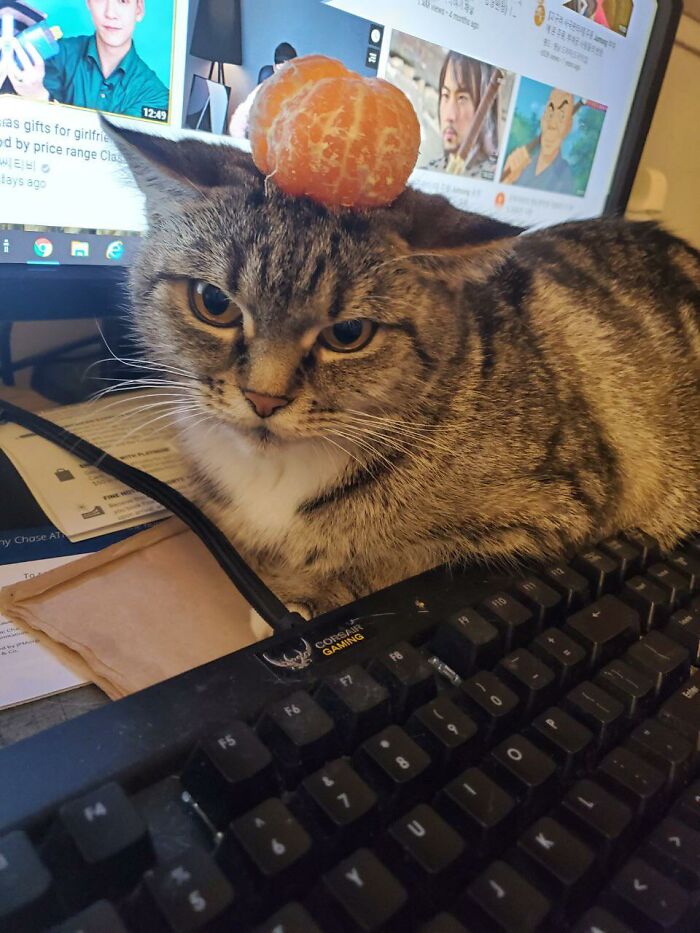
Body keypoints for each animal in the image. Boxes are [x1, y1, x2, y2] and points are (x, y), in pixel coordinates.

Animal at [104, 122, 700, 632]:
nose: (264, 398)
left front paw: (305, 593)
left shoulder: (560, 509)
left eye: (348, 333)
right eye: (213, 303)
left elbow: (403, 557)